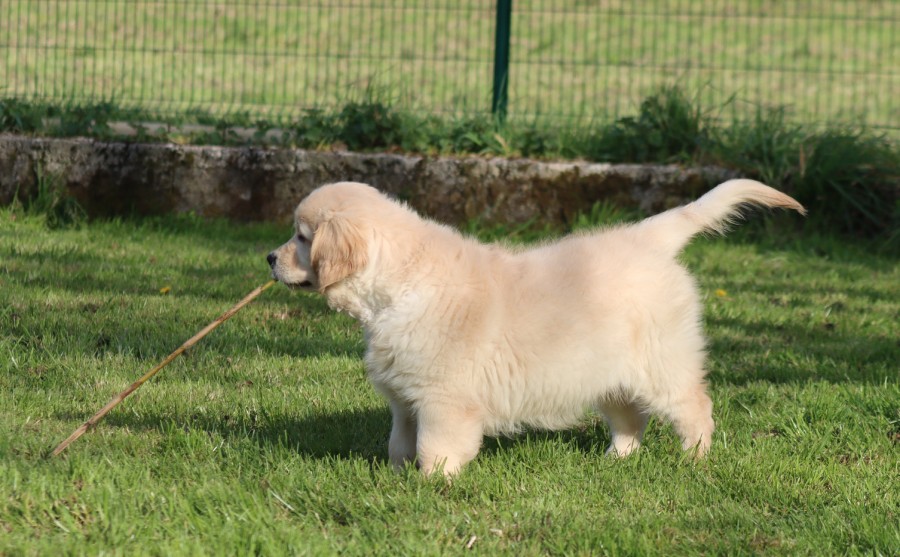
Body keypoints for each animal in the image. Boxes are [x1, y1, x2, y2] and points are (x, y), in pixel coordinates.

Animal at [268, 179, 805, 475]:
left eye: (302, 237)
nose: (269, 258)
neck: (400, 284)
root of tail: (647, 237)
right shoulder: (405, 396)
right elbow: (400, 439)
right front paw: (398, 474)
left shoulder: (444, 399)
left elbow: (435, 446)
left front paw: (430, 483)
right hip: (607, 373)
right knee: (630, 420)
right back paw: (615, 460)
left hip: (663, 363)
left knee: (695, 407)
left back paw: (694, 460)